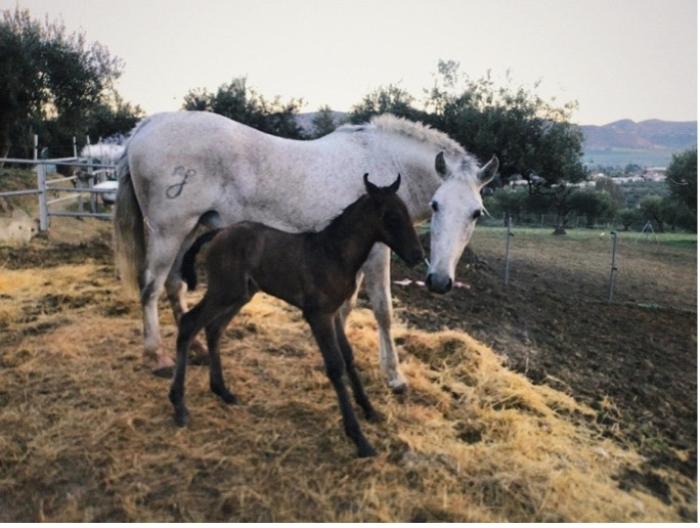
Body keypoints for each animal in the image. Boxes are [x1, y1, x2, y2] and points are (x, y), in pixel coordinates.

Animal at [113, 111, 498, 392]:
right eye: (435, 205)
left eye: (475, 213)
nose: (439, 281)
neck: (386, 164)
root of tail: (147, 125)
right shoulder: (377, 253)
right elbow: (382, 310)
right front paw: (395, 376)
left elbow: (347, 306)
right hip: (168, 231)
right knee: (150, 287)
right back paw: (157, 354)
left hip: (191, 229)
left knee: (174, 285)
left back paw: (191, 346)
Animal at [171, 174, 422, 458]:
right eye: (391, 216)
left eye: (406, 212)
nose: (417, 255)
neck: (333, 253)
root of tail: (219, 232)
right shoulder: (317, 315)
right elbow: (335, 366)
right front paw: (359, 438)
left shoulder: (333, 313)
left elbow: (348, 357)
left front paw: (369, 410)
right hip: (224, 290)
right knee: (190, 323)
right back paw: (179, 405)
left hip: (240, 293)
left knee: (213, 328)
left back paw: (222, 391)